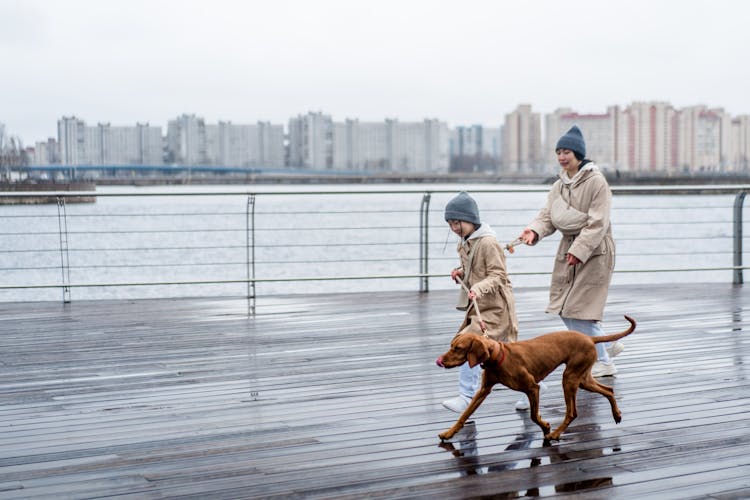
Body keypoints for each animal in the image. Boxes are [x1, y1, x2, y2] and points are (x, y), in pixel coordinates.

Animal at [438, 316, 636, 442]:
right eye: (451, 346)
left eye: (457, 348)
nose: (440, 360)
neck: (497, 356)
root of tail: (589, 337)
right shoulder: (483, 391)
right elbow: (465, 414)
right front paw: (449, 433)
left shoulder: (533, 388)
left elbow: (533, 415)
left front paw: (546, 427)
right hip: (582, 379)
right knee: (609, 390)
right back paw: (617, 415)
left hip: (570, 379)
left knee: (572, 412)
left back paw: (555, 434)